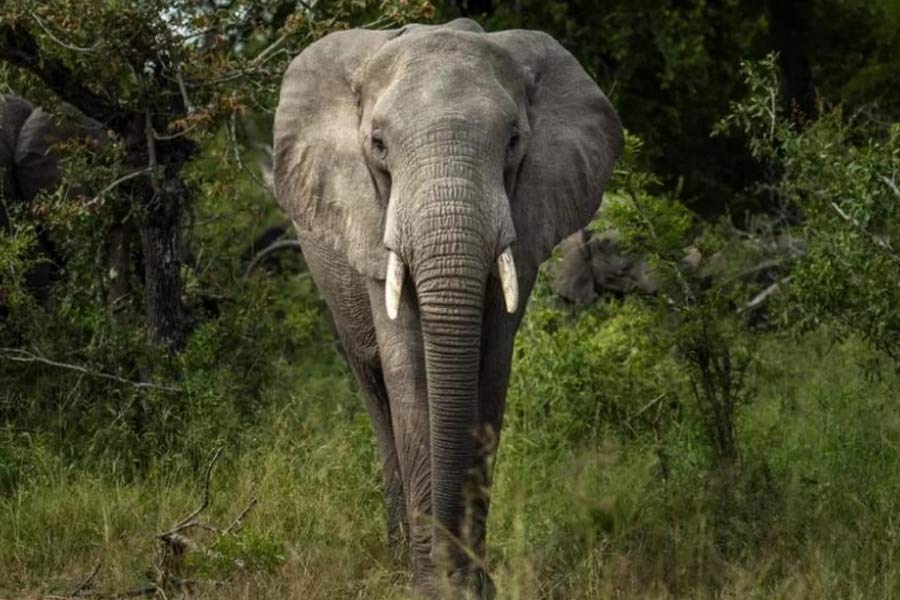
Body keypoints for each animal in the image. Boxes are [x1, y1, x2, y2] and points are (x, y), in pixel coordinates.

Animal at [273, 18, 623, 597]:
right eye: (378, 145)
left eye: (513, 142)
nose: (451, 566)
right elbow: (409, 374)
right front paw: (431, 585)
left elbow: (490, 372)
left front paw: (473, 584)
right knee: (375, 392)